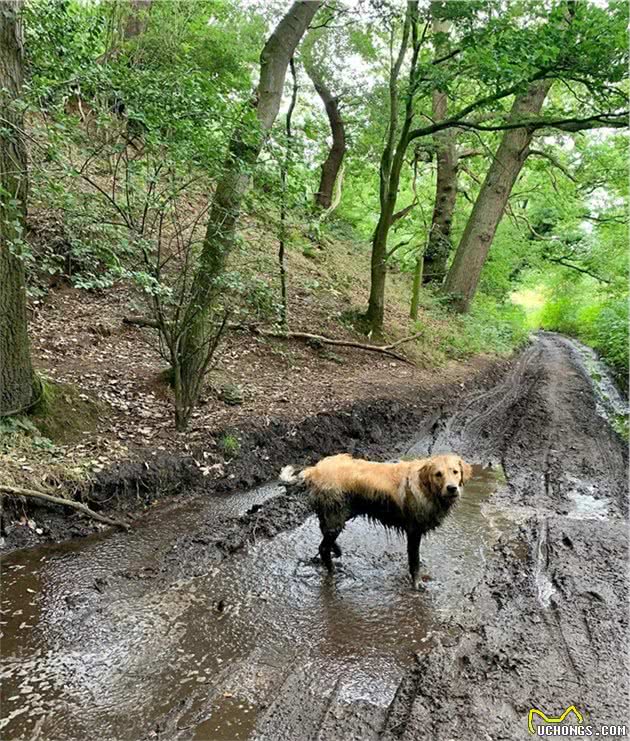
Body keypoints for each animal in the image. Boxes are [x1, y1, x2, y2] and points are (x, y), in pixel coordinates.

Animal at [282, 450, 474, 588]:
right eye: (438, 474)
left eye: (455, 472)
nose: (452, 488)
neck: (426, 487)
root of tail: (314, 469)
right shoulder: (414, 530)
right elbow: (414, 561)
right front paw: (417, 583)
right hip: (336, 514)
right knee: (323, 547)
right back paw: (332, 571)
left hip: (335, 513)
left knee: (324, 532)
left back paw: (336, 550)